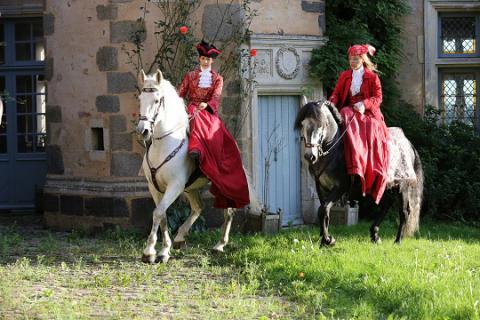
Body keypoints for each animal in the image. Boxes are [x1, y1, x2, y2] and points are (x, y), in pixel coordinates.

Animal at [136, 69, 253, 262]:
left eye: (157, 100)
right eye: (140, 99)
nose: (142, 130)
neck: (163, 144)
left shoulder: (175, 186)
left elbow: (158, 213)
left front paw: (151, 251)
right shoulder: (154, 187)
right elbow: (162, 215)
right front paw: (163, 249)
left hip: (221, 185)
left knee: (228, 211)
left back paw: (219, 245)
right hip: (190, 188)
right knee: (198, 207)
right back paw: (180, 238)